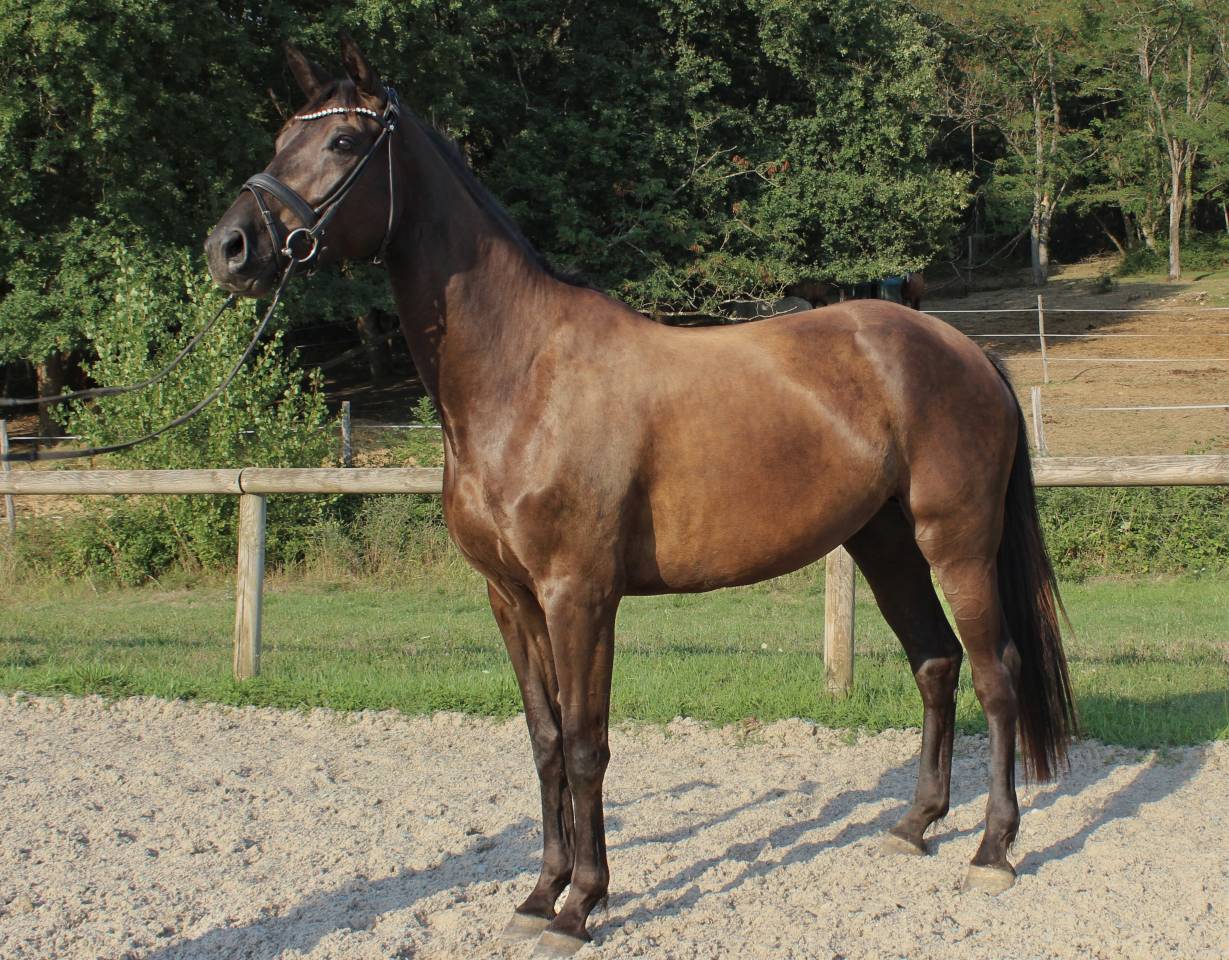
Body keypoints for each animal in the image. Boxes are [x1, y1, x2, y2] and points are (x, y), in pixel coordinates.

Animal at [205, 39, 1076, 957]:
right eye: (280, 137)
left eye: (341, 143)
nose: (229, 247)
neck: (525, 376)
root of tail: (964, 351)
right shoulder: (510, 598)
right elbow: (545, 742)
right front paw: (538, 894)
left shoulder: (579, 595)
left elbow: (588, 745)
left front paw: (581, 905)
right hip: (885, 546)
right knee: (936, 663)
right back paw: (914, 827)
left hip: (956, 545)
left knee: (997, 675)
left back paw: (992, 850)